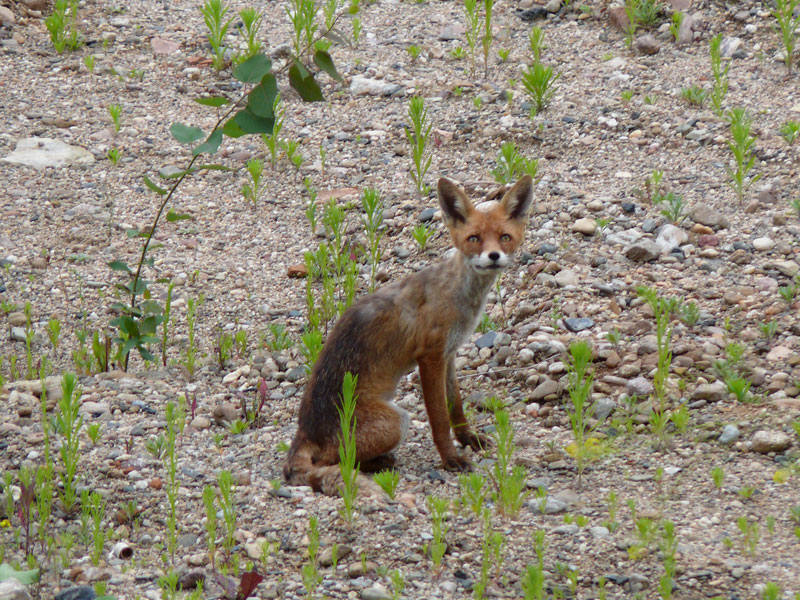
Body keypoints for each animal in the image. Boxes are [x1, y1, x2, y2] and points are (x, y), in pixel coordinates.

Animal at [284, 173, 536, 492]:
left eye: (504, 237)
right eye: (474, 239)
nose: (493, 256)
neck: (457, 295)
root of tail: (305, 431)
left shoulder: (449, 354)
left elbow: (456, 406)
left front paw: (467, 438)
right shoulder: (430, 357)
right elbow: (439, 419)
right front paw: (451, 459)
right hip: (397, 421)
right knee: (333, 460)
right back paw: (377, 463)